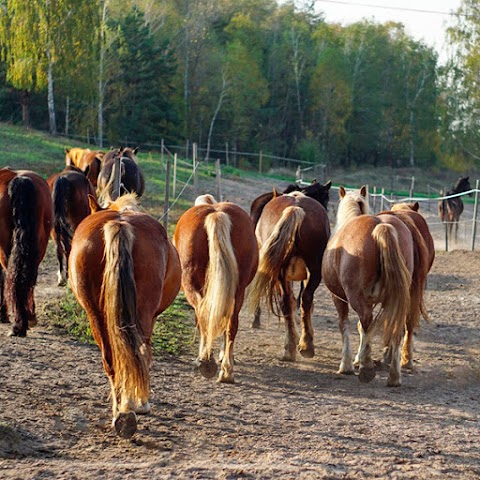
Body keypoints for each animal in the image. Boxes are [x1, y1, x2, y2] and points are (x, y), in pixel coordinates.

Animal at [0, 169, 53, 338]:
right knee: (27, 276)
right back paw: (28, 318)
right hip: (38, 246)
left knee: (11, 275)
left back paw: (19, 324)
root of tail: (19, 179)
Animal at [66, 193, 181, 436]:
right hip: (142, 315)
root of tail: (119, 223)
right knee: (140, 354)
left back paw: (120, 413)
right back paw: (134, 405)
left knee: (112, 359)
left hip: (96, 316)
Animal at [173, 195, 258, 382]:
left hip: (191, 285)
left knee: (203, 314)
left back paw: (206, 362)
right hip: (238, 290)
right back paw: (226, 371)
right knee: (231, 323)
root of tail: (216, 213)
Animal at [248, 191, 330, 360]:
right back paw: (305, 344)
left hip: (281, 270)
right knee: (304, 299)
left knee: (287, 301)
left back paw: (291, 346)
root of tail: (295, 207)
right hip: (313, 269)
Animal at [322, 186, 416, 388]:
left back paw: (366, 368)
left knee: (365, 321)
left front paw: (348, 364)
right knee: (395, 329)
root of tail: (381, 226)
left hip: (356, 297)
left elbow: (346, 325)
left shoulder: (339, 298)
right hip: (396, 299)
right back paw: (394, 376)